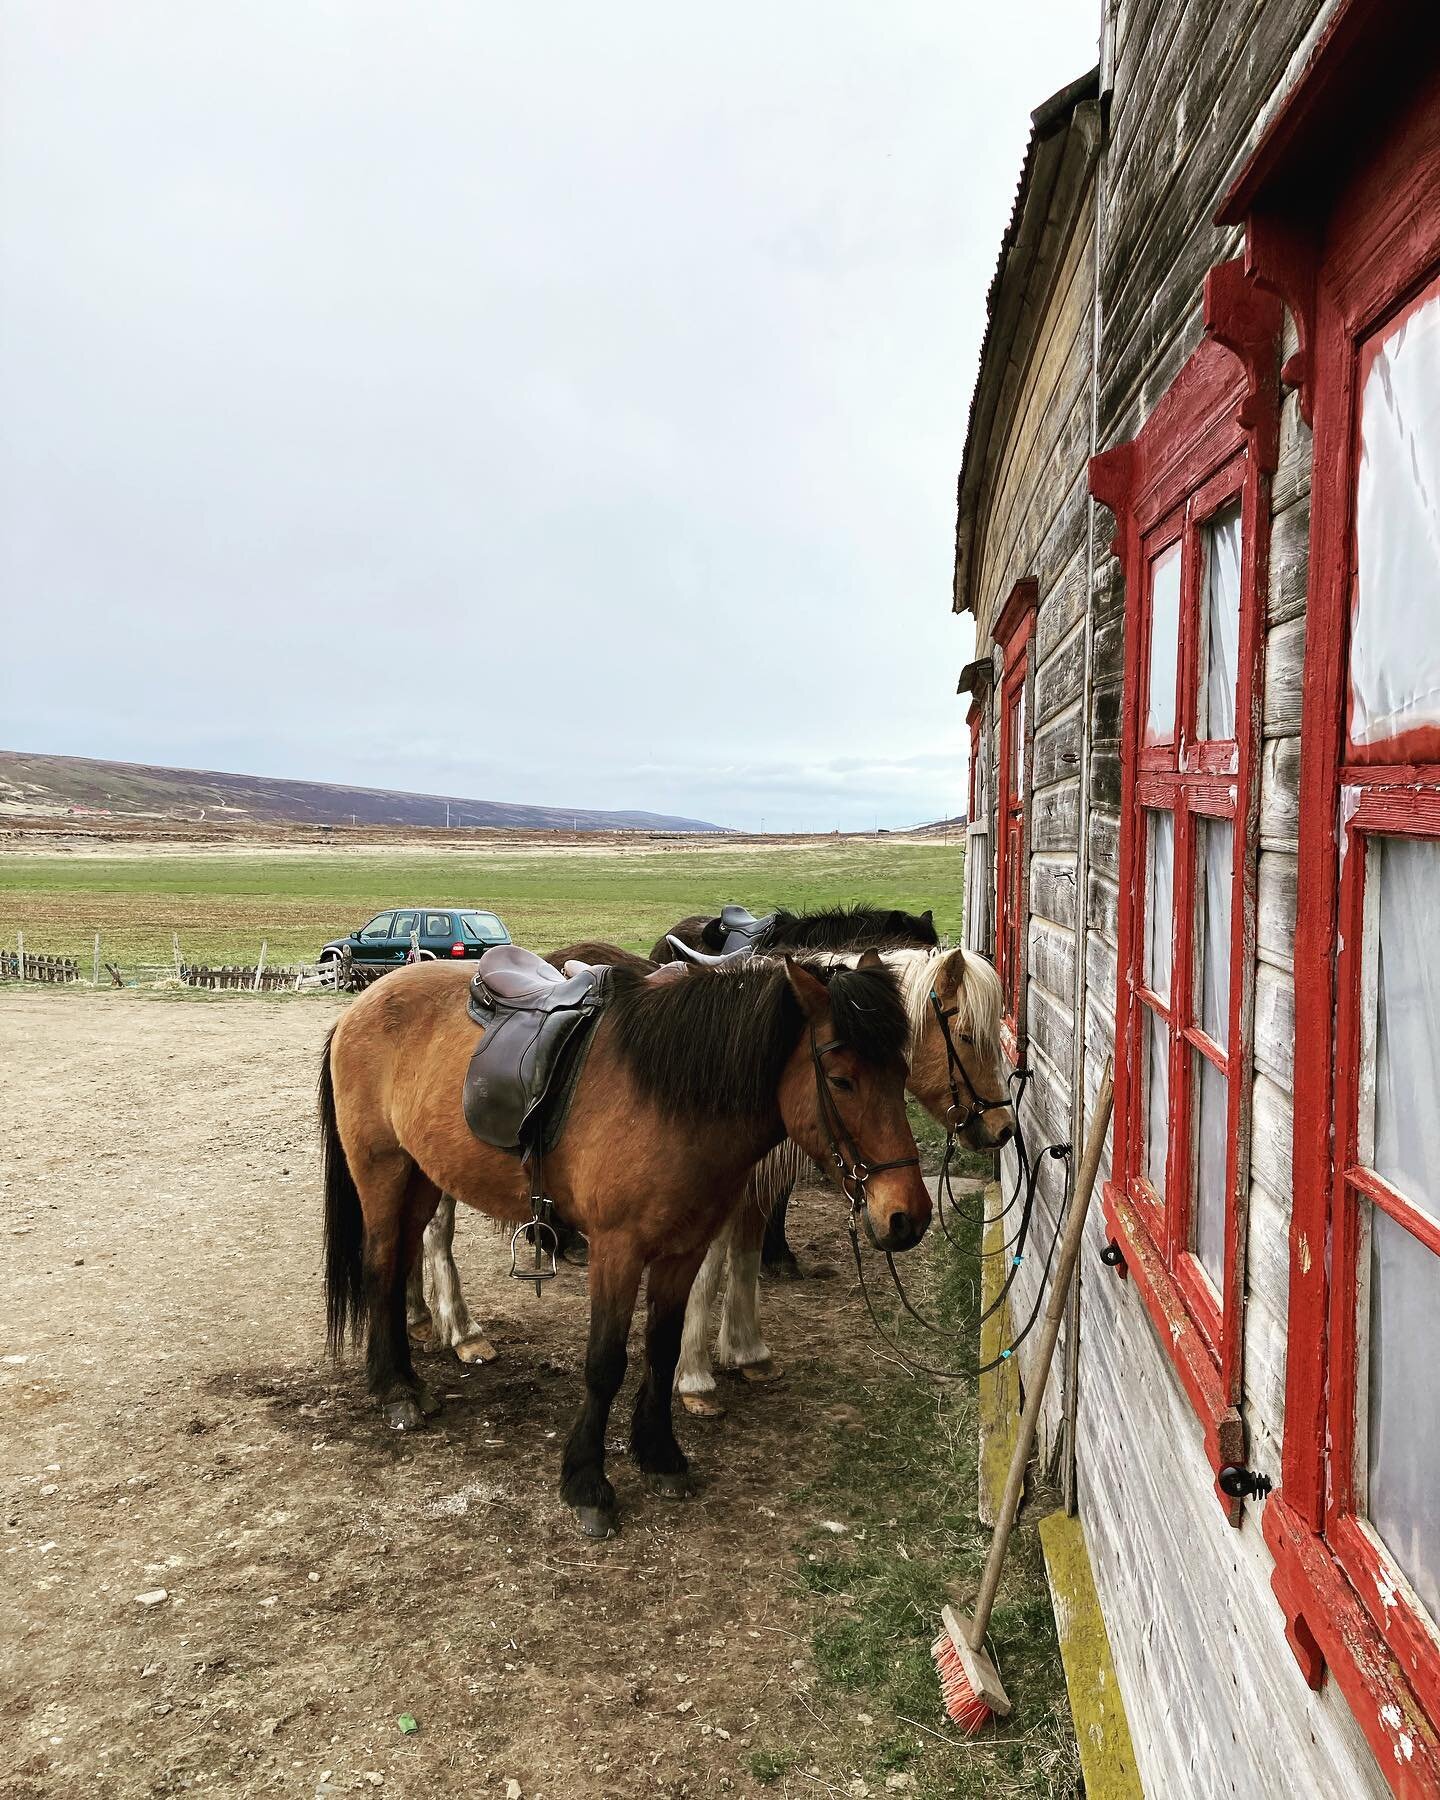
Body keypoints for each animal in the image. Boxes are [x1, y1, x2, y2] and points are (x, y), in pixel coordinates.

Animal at [315, 957, 928, 1533]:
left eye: (901, 1071)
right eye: (842, 1079)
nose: (906, 1217)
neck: (671, 1100)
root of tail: (359, 1006)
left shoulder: (684, 1250)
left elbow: (663, 1348)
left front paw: (659, 1455)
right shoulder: (617, 1251)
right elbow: (605, 1362)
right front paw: (587, 1482)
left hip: (421, 1177)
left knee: (400, 1264)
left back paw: (410, 1373)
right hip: (384, 1172)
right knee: (380, 1266)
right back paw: (394, 1389)